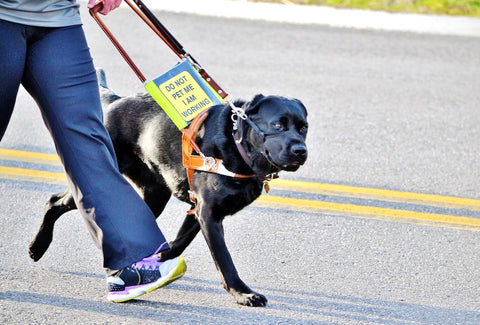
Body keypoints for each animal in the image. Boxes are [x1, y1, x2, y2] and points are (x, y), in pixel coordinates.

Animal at [29, 69, 308, 306]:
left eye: (303, 128)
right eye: (278, 125)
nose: (300, 150)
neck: (238, 148)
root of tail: (115, 100)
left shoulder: (198, 212)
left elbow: (179, 242)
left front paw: (160, 262)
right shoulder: (208, 213)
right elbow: (224, 258)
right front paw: (243, 293)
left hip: (154, 194)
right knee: (55, 201)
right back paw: (37, 247)